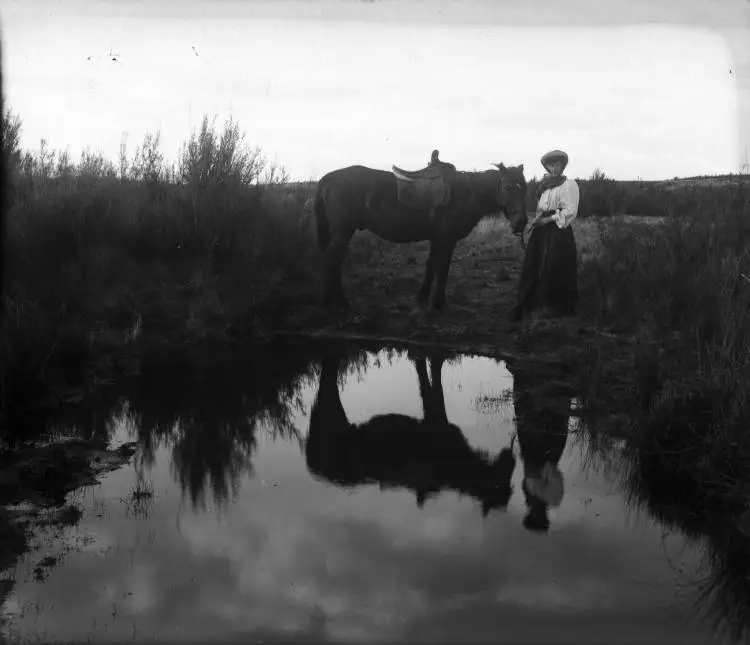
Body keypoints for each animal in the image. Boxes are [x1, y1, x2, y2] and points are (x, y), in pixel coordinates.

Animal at [306, 350, 516, 516]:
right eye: (504, 479)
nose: (512, 455)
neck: (456, 465)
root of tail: (312, 464)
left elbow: (429, 372)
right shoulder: (436, 420)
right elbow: (432, 384)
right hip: (330, 408)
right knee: (328, 375)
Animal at [312, 161, 528, 312]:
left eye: (524, 187)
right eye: (508, 187)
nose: (521, 222)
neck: (464, 195)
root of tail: (326, 179)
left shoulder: (440, 240)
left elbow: (434, 267)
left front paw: (426, 300)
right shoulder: (446, 239)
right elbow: (440, 268)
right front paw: (434, 303)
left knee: (334, 261)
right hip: (342, 232)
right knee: (331, 260)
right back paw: (335, 302)